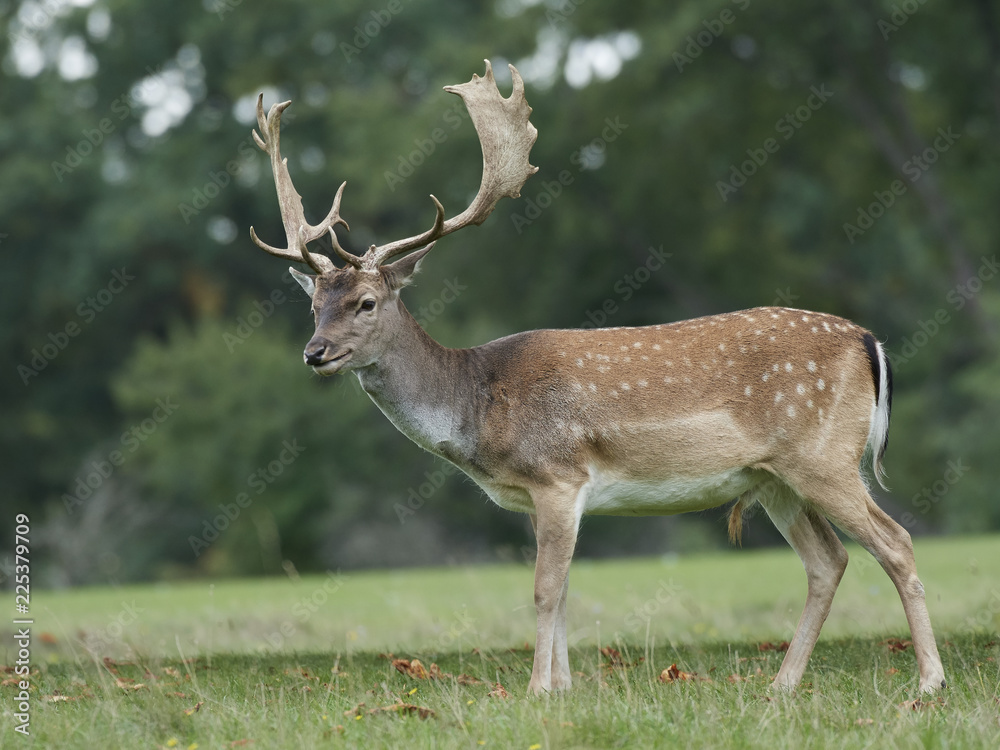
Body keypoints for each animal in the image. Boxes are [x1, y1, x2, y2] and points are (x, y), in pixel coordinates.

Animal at [247, 60, 946, 696]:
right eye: (314, 303)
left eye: (366, 302)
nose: (315, 352)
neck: (479, 406)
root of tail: (868, 341)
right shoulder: (541, 496)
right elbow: (564, 591)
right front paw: (564, 689)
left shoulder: (559, 475)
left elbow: (544, 589)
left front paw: (536, 691)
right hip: (774, 478)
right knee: (829, 562)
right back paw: (782, 685)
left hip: (823, 455)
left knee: (896, 542)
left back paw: (929, 682)